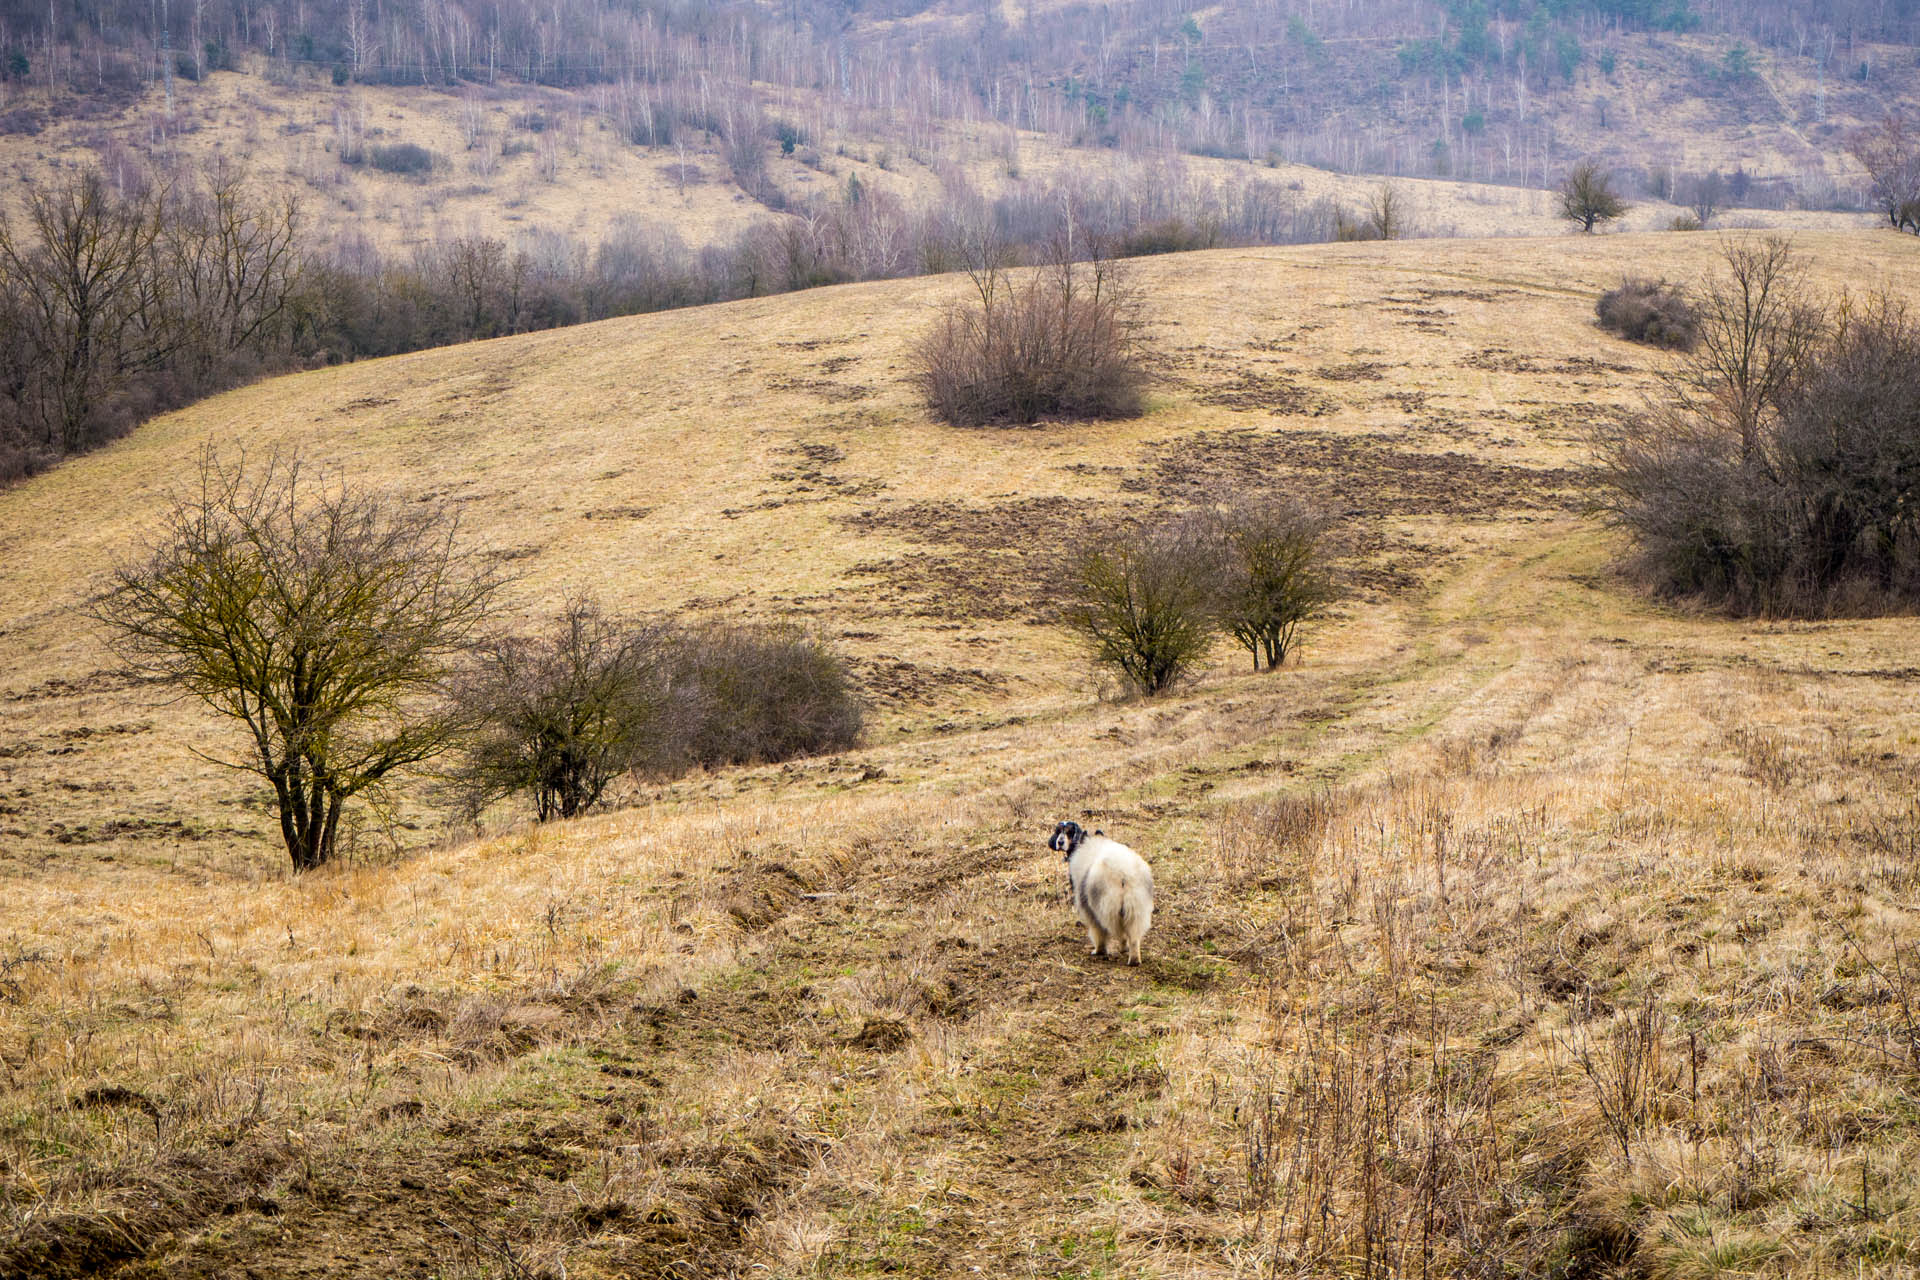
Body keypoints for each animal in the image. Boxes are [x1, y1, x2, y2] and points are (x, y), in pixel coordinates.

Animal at [1052, 825, 1152, 967]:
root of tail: (1124, 873)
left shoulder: (1090, 910)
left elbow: (1098, 931)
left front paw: (1098, 950)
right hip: (1137, 908)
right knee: (1133, 936)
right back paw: (1133, 958)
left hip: (1105, 907)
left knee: (1113, 930)